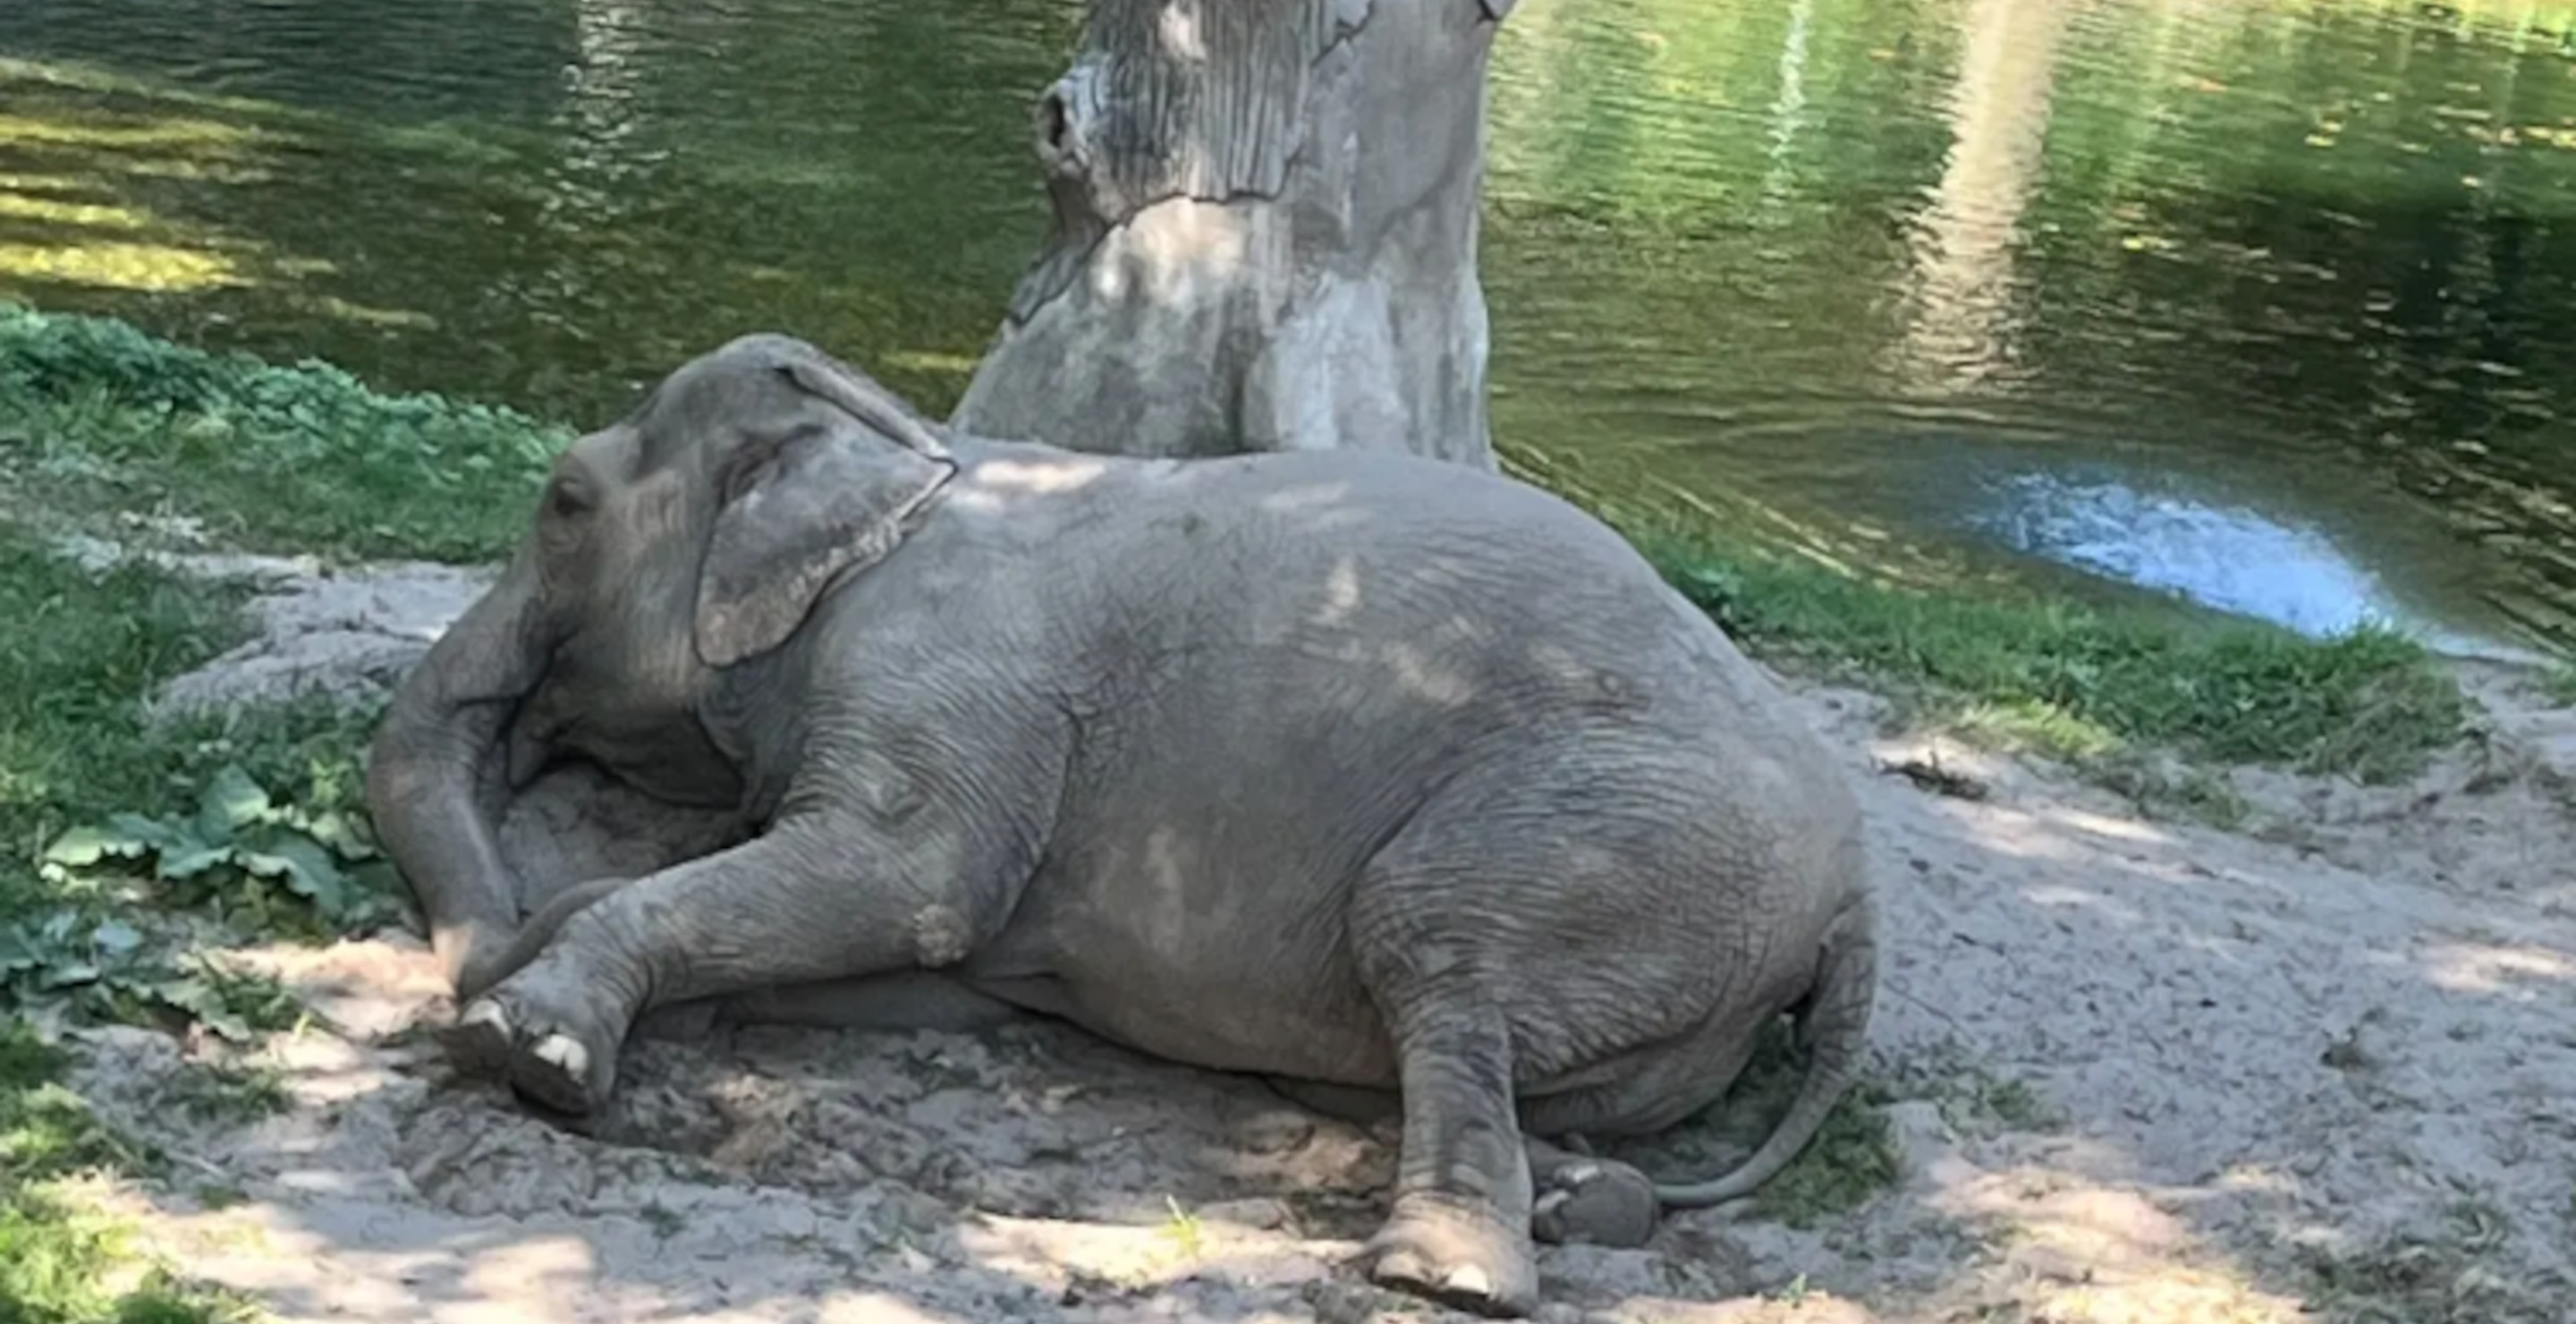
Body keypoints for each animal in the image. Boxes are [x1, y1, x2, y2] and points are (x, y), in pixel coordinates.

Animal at [368, 332, 1875, 1319]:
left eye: (565, 502)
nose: (480, 947)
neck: (904, 451)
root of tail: (1857, 897)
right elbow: (924, 963)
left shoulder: (946, 682)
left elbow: (907, 884)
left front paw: (524, 1044)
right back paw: (1580, 1202)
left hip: (1615, 838)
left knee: (1434, 954)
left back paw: (1440, 1273)